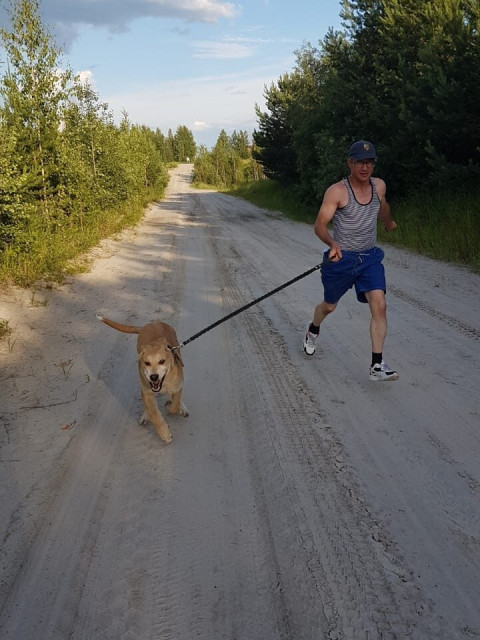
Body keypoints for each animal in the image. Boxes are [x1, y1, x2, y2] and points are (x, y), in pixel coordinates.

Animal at [96, 312, 188, 442]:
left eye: (162, 361)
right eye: (147, 363)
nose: (153, 377)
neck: (164, 383)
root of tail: (149, 324)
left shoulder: (177, 387)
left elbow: (174, 405)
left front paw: (172, 406)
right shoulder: (147, 392)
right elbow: (154, 415)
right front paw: (165, 434)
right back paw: (146, 415)